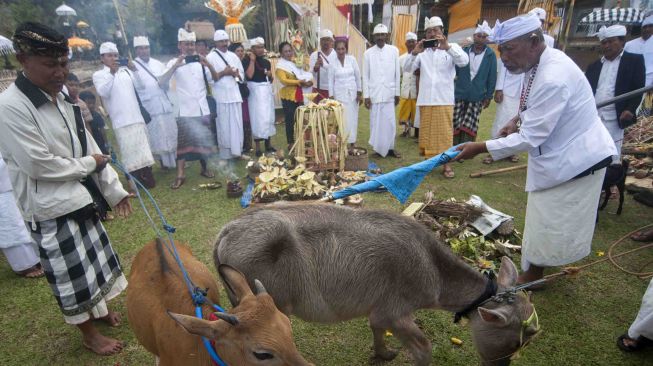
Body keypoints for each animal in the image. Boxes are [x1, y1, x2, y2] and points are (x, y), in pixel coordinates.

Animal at [215, 203, 540, 366]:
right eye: (516, 342)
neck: (433, 268)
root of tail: (228, 229)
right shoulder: (396, 313)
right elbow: (423, 348)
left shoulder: (379, 311)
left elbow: (376, 330)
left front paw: (382, 354)